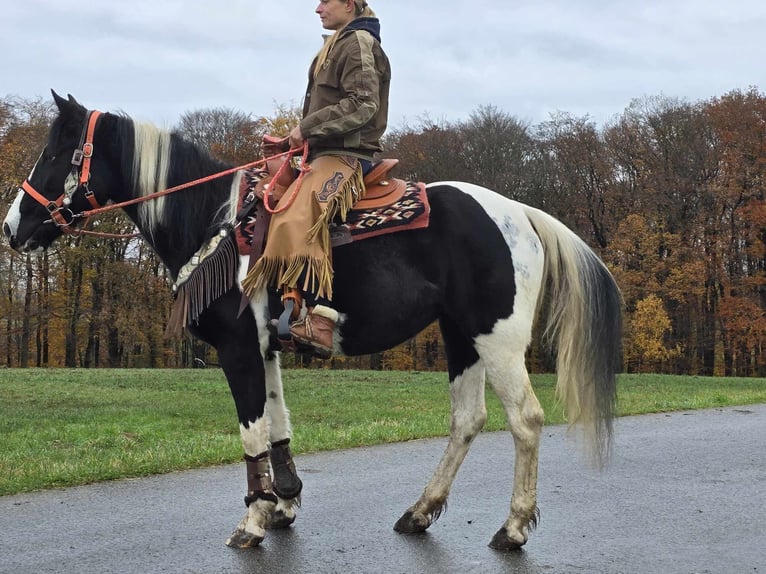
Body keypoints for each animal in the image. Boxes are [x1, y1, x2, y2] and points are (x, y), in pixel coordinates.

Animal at [1, 94, 624, 552]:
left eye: (53, 155)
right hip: (461, 337)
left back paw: (513, 528)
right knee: (467, 420)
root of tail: (519, 212)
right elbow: (278, 425)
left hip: (497, 339)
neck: (215, 220)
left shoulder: (237, 347)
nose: (11, 227)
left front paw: (253, 521)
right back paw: (419, 512)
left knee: (526, 420)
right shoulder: (267, 346)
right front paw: (284, 503)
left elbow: (252, 431)